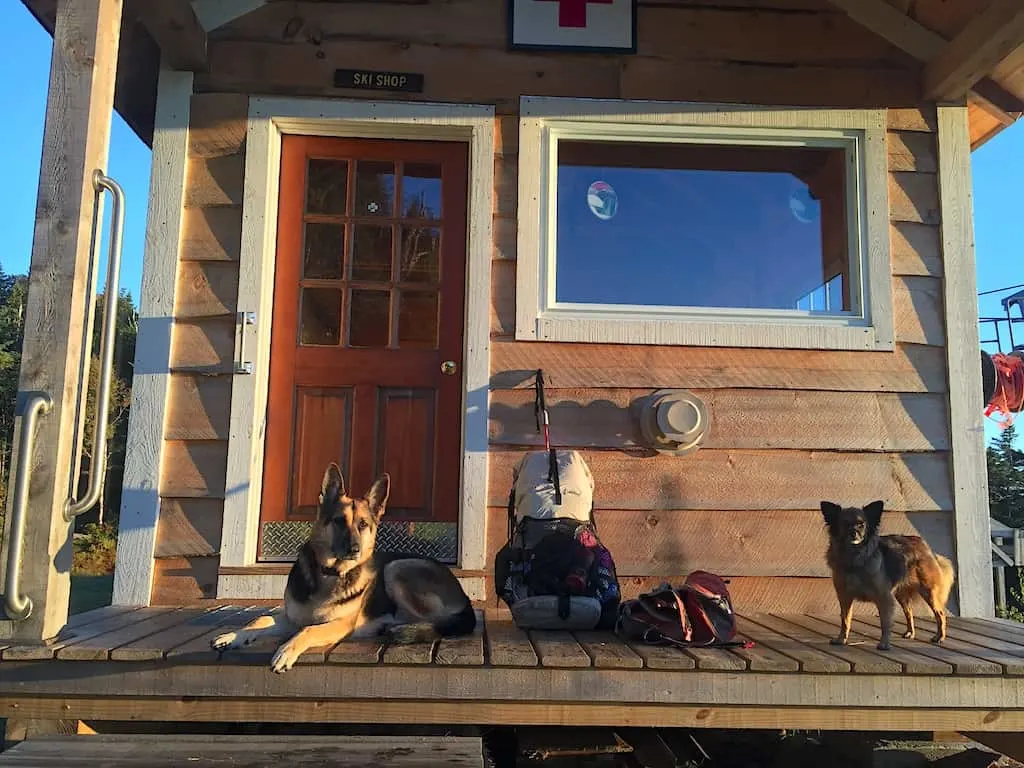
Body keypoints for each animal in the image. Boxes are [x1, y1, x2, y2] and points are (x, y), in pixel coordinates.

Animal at [214, 462, 477, 671]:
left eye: (363, 524)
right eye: (339, 521)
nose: (354, 549)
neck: (329, 574)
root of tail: (463, 595)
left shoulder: (337, 625)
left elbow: (308, 630)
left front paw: (286, 651)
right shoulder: (290, 618)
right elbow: (261, 619)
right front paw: (233, 635)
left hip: (396, 567)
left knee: (442, 622)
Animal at [819, 501, 954, 651]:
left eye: (862, 525)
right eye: (845, 523)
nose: (854, 533)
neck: (855, 557)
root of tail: (924, 545)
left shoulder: (883, 598)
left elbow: (885, 622)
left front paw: (884, 644)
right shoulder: (844, 597)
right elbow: (845, 620)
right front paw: (841, 639)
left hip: (929, 592)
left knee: (940, 614)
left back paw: (940, 637)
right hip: (901, 595)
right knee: (909, 612)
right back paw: (910, 633)